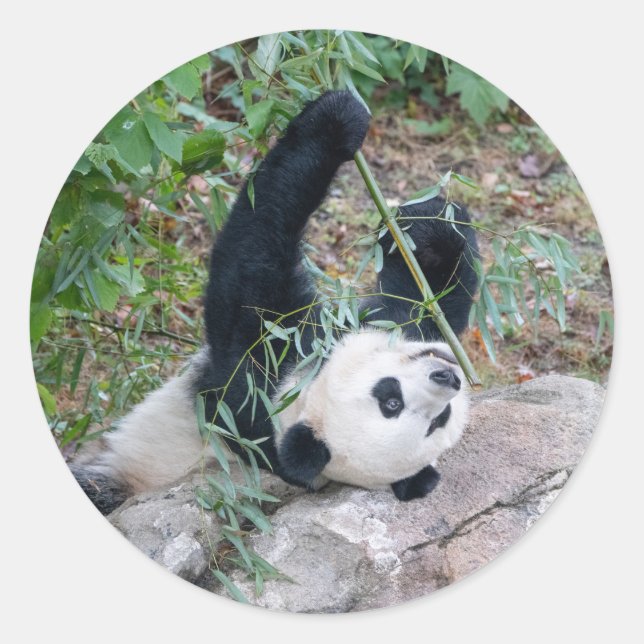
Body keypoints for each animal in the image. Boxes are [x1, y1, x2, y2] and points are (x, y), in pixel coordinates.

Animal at [71, 91, 479, 515]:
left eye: (438, 419)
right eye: (391, 399)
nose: (448, 377)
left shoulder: (262, 370)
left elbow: (251, 262)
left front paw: (333, 121)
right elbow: (425, 296)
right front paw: (423, 222)